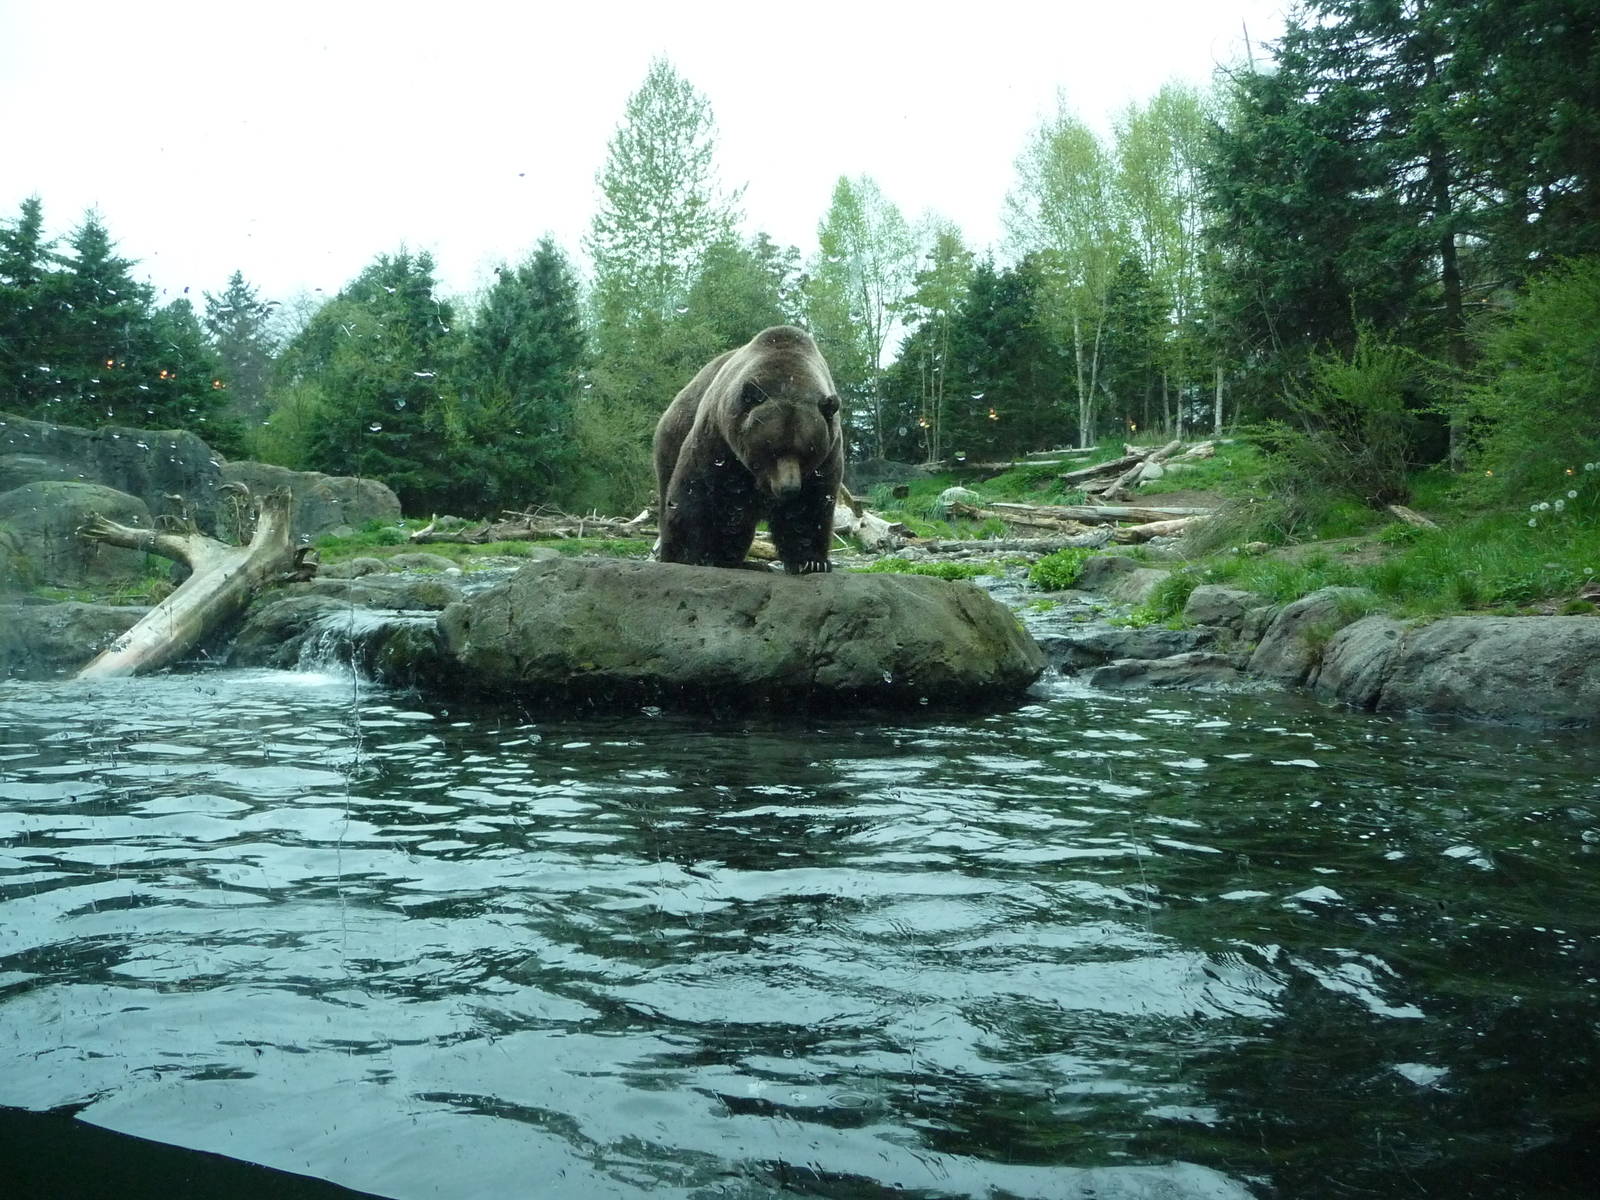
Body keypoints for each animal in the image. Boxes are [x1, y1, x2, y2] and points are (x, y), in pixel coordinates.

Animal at [653, 325, 844, 575]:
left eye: (806, 453)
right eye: (771, 449)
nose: (788, 488)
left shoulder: (827, 457)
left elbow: (809, 507)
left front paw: (812, 561)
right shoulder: (718, 443)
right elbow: (694, 494)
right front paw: (686, 556)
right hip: (671, 440)